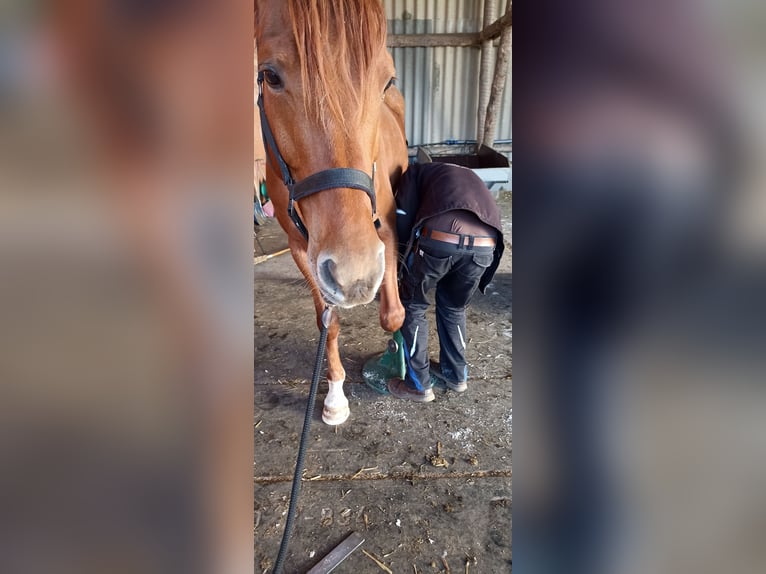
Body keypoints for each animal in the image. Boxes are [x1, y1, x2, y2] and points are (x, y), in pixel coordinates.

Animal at [255, 0, 408, 424]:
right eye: (269, 75)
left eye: (386, 81)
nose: (355, 276)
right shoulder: (300, 246)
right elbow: (329, 320)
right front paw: (336, 394)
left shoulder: (386, 227)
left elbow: (394, 315)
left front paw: (400, 356)